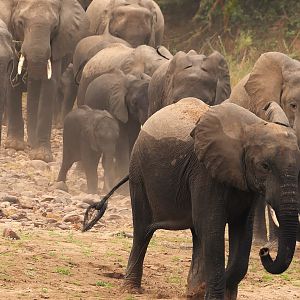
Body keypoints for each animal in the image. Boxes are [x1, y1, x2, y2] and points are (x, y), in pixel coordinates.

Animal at [0, 0, 89, 162]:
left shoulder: (58, 45)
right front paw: (15, 146)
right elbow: (13, 81)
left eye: (54, 27)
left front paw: (42, 157)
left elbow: (49, 84)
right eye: (20, 23)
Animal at [88, 98, 300, 298]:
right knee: (143, 230)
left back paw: (193, 292)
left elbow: (241, 231)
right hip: (138, 170)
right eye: (265, 166)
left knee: (196, 233)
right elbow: (212, 227)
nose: (265, 251)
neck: (250, 127)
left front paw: (212, 292)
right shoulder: (205, 172)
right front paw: (212, 295)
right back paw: (131, 289)